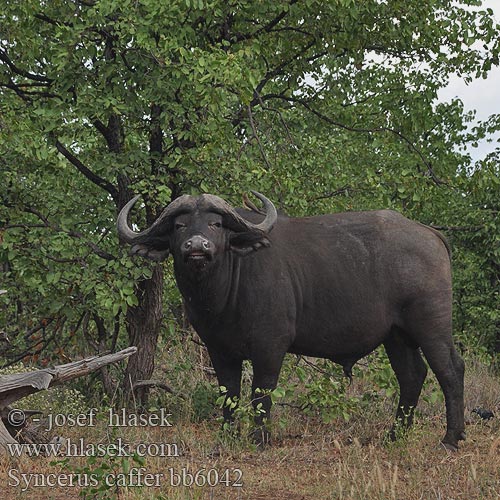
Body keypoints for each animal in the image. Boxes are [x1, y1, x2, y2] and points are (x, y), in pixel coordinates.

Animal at [117, 190, 464, 450]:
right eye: (180, 226)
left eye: (216, 224)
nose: (197, 247)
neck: (223, 293)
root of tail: (431, 234)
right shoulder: (218, 350)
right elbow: (229, 393)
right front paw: (227, 436)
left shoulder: (270, 346)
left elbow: (261, 392)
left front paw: (259, 439)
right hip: (396, 336)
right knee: (412, 375)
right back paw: (395, 436)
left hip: (430, 325)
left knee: (449, 369)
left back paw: (451, 438)